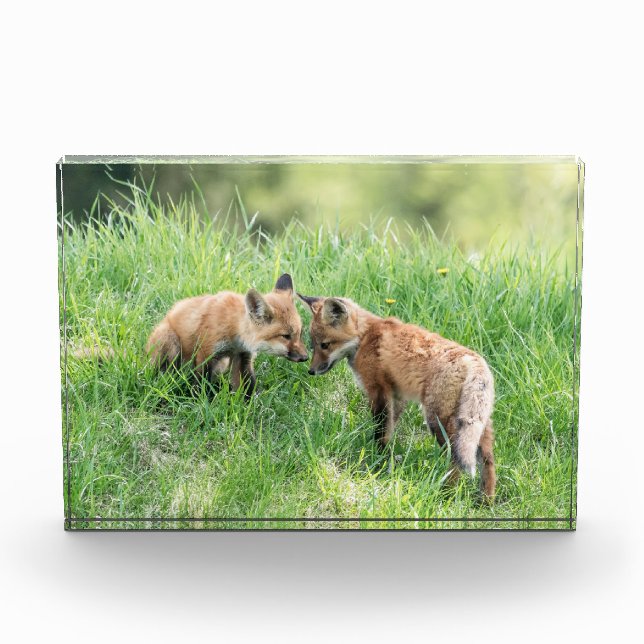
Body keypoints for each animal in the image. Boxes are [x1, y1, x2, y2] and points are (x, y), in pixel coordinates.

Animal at [146, 273, 308, 398]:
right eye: (286, 336)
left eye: (299, 333)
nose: (306, 357)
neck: (233, 329)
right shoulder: (206, 353)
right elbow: (201, 384)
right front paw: (199, 402)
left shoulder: (243, 356)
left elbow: (247, 387)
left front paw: (249, 408)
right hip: (170, 343)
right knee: (166, 373)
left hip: (221, 364)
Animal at [298, 294, 496, 498]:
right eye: (313, 345)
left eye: (325, 345)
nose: (311, 371)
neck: (364, 337)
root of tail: (475, 362)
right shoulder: (397, 397)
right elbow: (389, 430)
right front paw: (387, 458)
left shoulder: (378, 390)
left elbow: (380, 431)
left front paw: (377, 460)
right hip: (479, 425)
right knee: (488, 461)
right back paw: (486, 499)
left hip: (437, 420)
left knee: (455, 459)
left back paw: (446, 493)